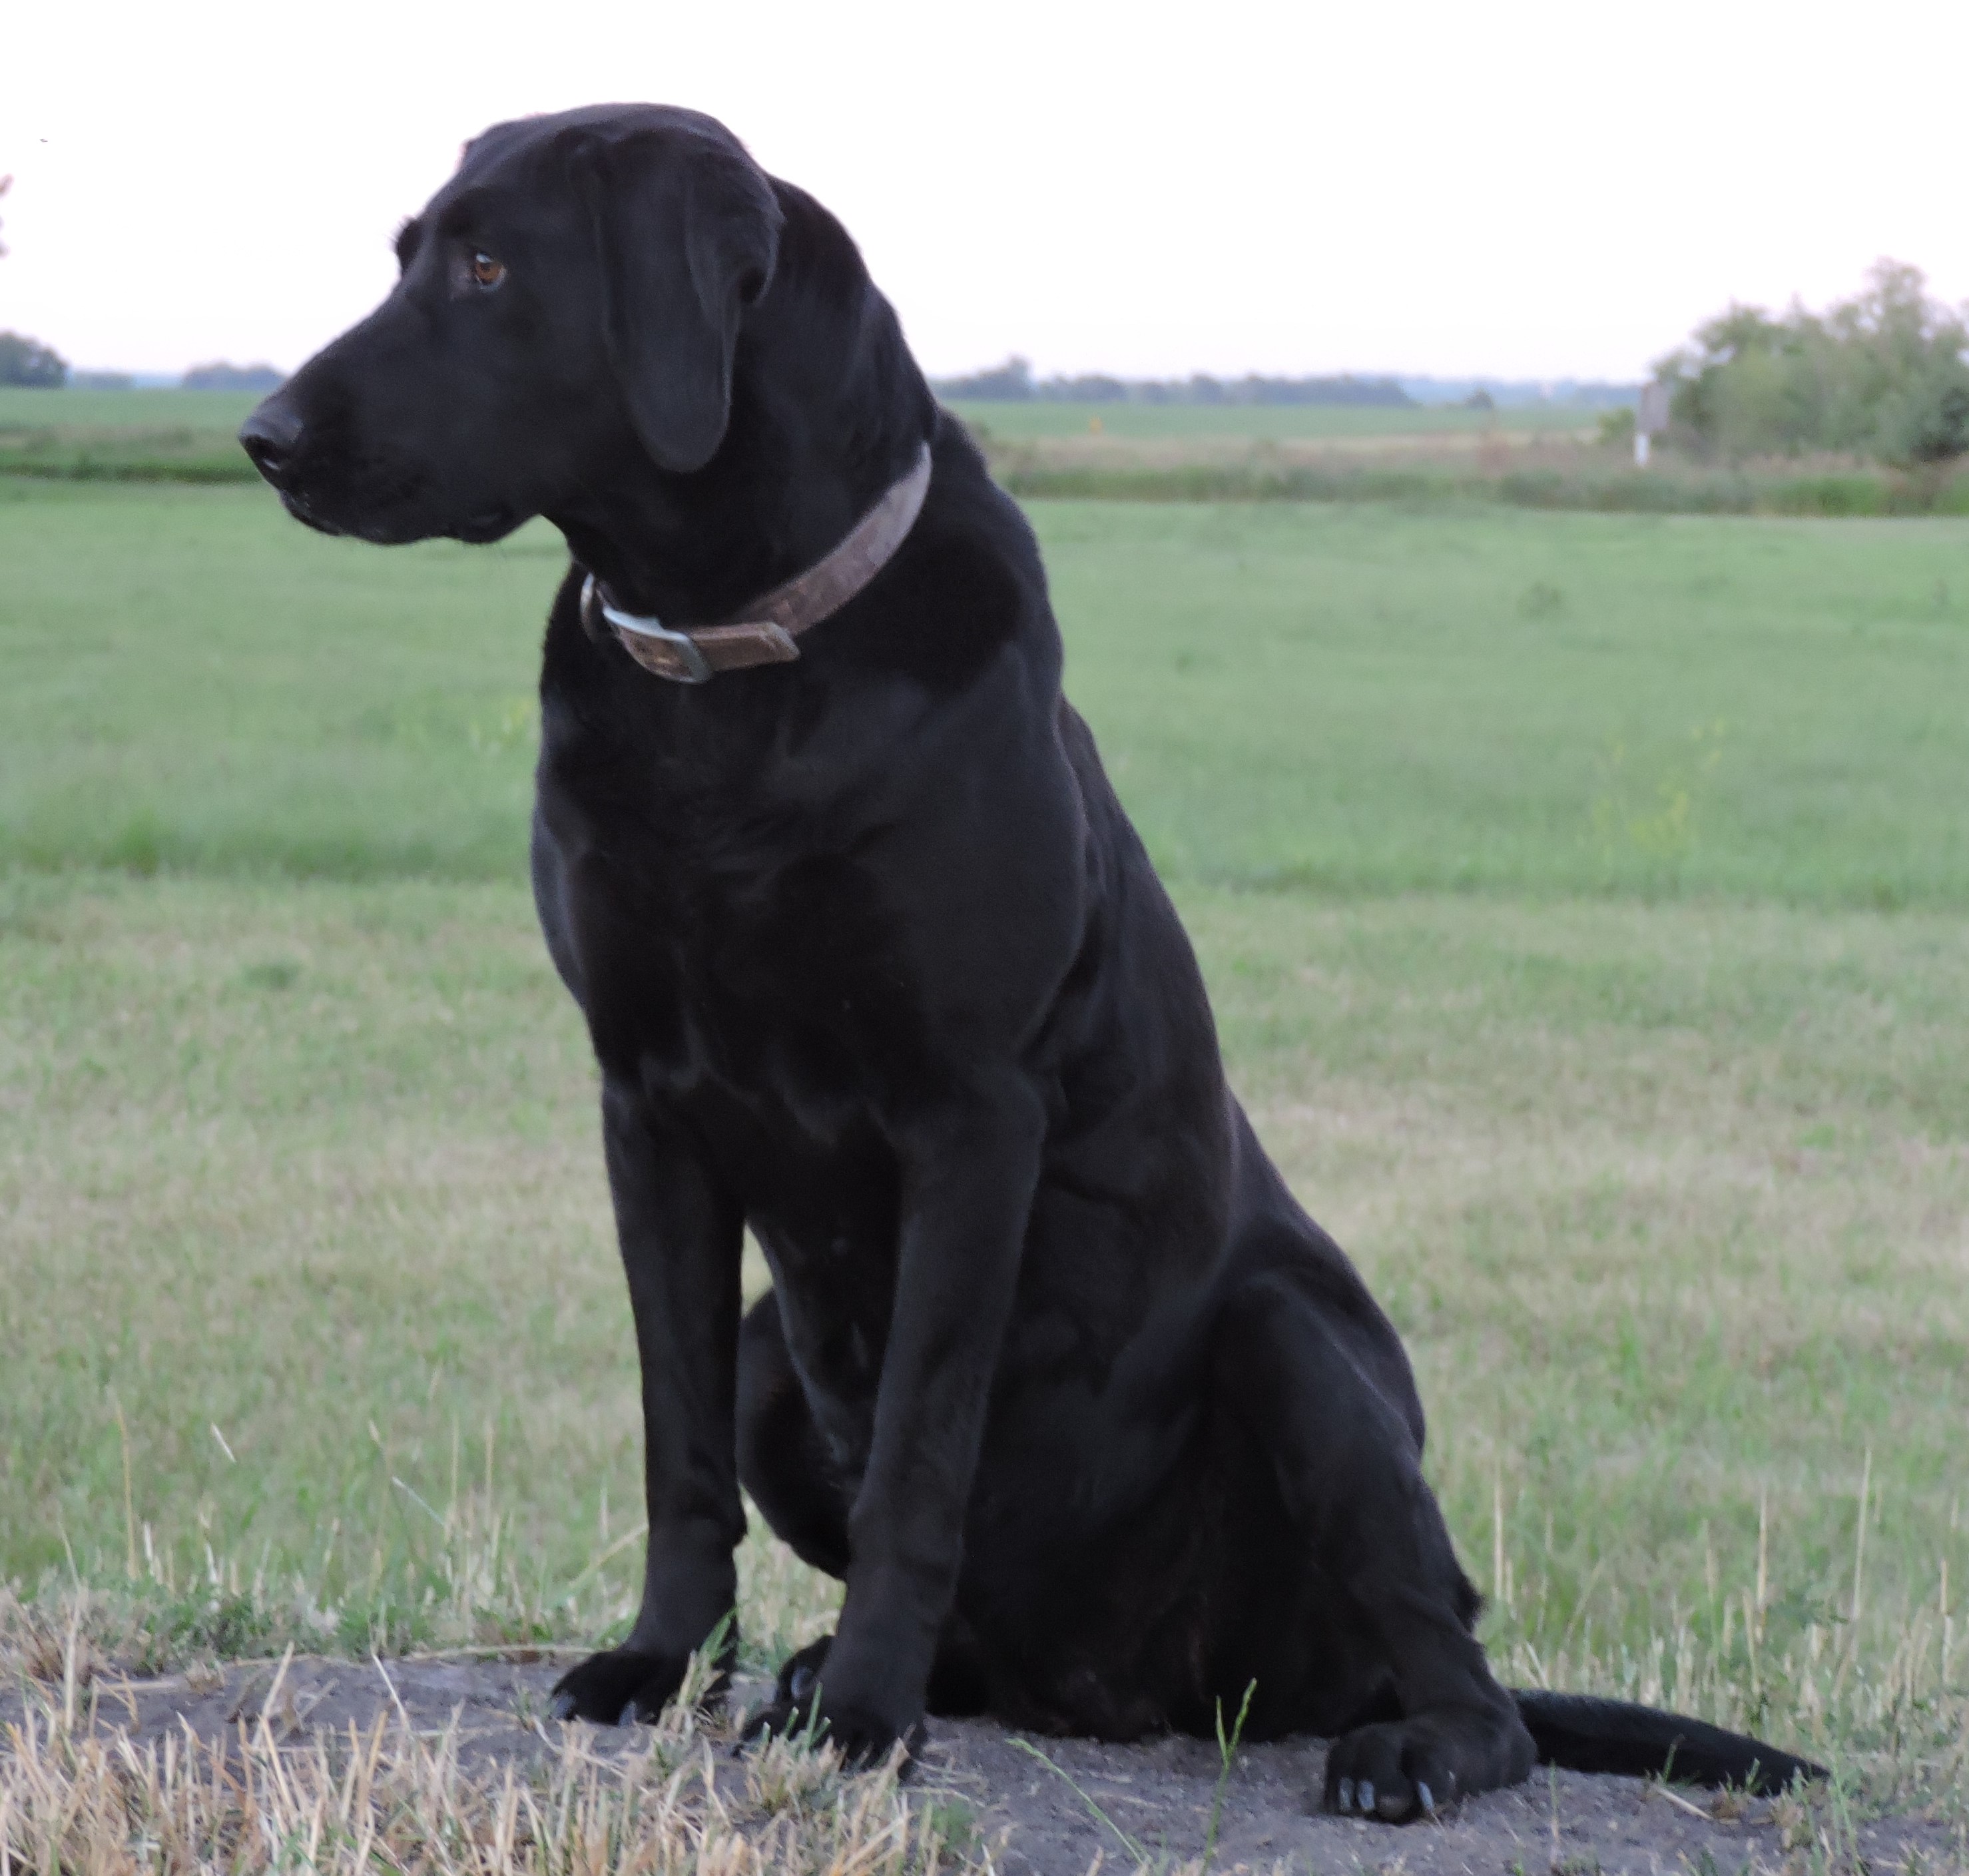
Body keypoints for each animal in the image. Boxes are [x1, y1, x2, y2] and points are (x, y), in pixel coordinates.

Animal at [238, 102, 1819, 1819]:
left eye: (485, 266)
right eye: (409, 252)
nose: (262, 435)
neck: (731, 658)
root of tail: (1134, 1692)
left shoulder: (967, 1109)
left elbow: (918, 1456)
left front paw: (865, 1712)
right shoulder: (642, 1103)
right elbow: (675, 1443)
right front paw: (665, 1665)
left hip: (1295, 1347)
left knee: (1463, 1677)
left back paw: (1392, 1744)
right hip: (779, 1360)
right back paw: (848, 1672)